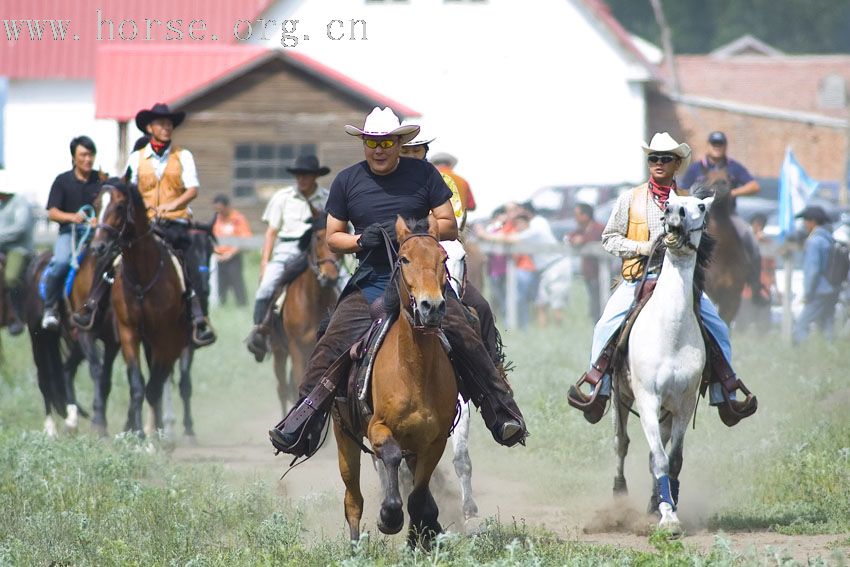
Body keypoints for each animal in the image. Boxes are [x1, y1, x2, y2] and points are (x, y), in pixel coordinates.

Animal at [89, 182, 187, 434]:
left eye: (120, 206)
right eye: (96, 205)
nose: (98, 246)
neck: (143, 276)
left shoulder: (165, 337)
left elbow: (154, 387)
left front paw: (153, 434)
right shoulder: (128, 332)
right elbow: (137, 384)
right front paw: (139, 433)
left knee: (161, 379)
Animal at [270, 213, 340, 412]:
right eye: (318, 237)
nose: (330, 277)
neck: (313, 302)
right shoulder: (296, 347)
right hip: (279, 351)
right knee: (282, 389)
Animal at [332, 215, 458, 548]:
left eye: (443, 258)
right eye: (404, 259)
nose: (432, 306)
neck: (415, 372)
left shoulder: (434, 442)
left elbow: (419, 497)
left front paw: (420, 539)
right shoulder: (377, 427)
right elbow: (390, 456)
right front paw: (389, 516)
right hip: (344, 437)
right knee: (353, 499)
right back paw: (355, 548)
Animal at [608, 193, 708, 536]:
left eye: (701, 207)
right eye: (670, 205)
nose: (672, 212)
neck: (670, 334)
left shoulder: (683, 406)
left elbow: (671, 461)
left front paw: (666, 509)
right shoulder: (647, 400)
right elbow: (659, 459)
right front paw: (669, 521)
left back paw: (654, 502)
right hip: (622, 400)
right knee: (621, 444)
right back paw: (620, 497)